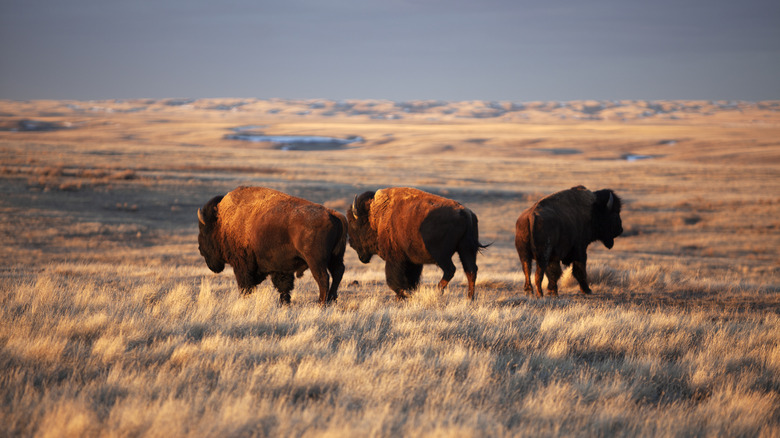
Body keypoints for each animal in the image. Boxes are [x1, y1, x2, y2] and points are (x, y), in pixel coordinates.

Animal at [197, 186, 347, 304]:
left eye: (203, 231)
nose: (200, 249)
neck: (221, 222)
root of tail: (332, 213)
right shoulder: (280, 266)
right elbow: (283, 285)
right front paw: (284, 303)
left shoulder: (242, 266)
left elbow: (245, 285)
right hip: (336, 257)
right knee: (337, 273)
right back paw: (331, 299)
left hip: (316, 261)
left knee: (323, 278)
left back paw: (321, 303)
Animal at [347, 187, 487, 300]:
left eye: (354, 225)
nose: (351, 243)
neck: (376, 217)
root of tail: (465, 213)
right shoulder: (412, 261)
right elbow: (411, 278)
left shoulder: (395, 258)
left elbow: (393, 279)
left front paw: (402, 295)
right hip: (466, 250)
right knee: (470, 271)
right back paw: (469, 299)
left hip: (442, 255)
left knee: (451, 270)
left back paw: (437, 291)